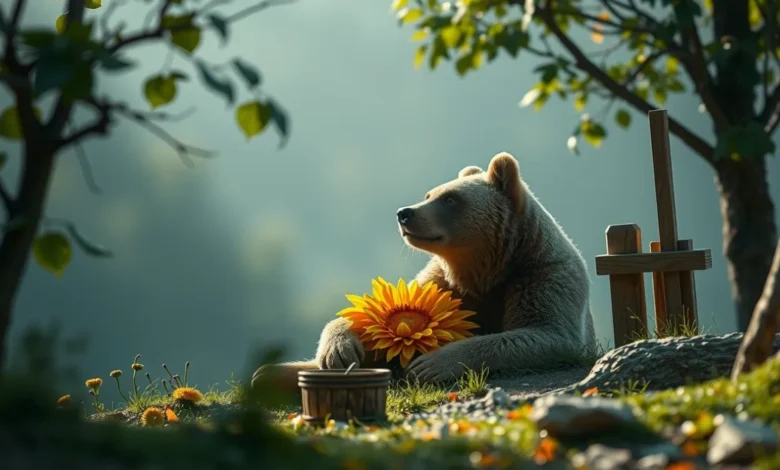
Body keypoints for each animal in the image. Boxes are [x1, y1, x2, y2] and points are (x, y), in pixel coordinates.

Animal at [252, 152, 597, 391]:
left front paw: (430, 364)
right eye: (429, 194)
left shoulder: (541, 276)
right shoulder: (441, 285)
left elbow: (545, 332)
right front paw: (338, 349)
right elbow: (369, 322)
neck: (486, 268)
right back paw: (270, 373)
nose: (405, 213)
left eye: (451, 198)